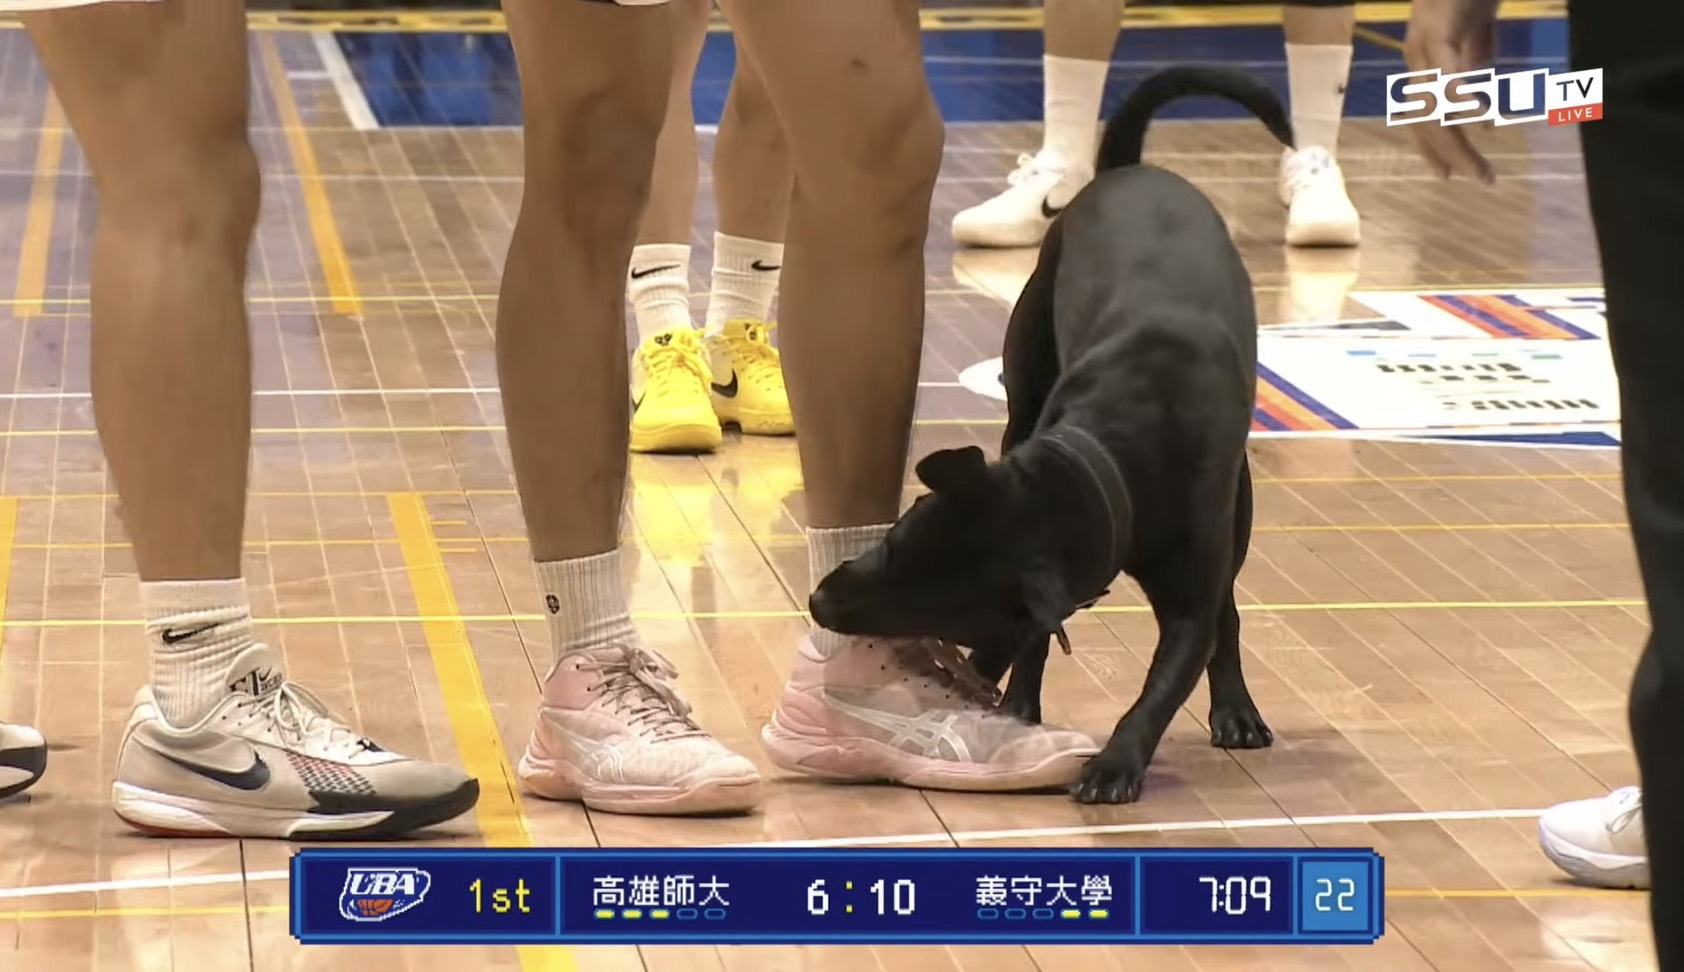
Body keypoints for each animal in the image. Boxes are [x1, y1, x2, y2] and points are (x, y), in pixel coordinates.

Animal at [807, 66, 1292, 805]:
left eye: (936, 613)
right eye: (892, 542)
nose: (818, 599)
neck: (1121, 451)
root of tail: (1132, 171)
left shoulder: (1188, 594)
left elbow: (1164, 682)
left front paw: (1116, 763)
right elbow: (1042, 641)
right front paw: (1016, 708)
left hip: (1238, 505)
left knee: (1228, 609)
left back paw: (1235, 707)